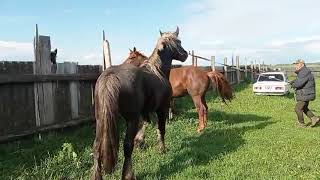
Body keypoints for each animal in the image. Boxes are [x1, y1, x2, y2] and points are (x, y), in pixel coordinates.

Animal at [92, 27, 188, 180]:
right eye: (178, 41)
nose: (185, 54)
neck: (158, 71)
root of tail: (110, 77)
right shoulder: (161, 109)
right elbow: (161, 129)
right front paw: (162, 149)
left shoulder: (144, 111)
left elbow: (146, 123)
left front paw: (140, 141)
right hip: (131, 119)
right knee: (127, 146)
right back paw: (128, 174)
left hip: (101, 120)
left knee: (96, 147)